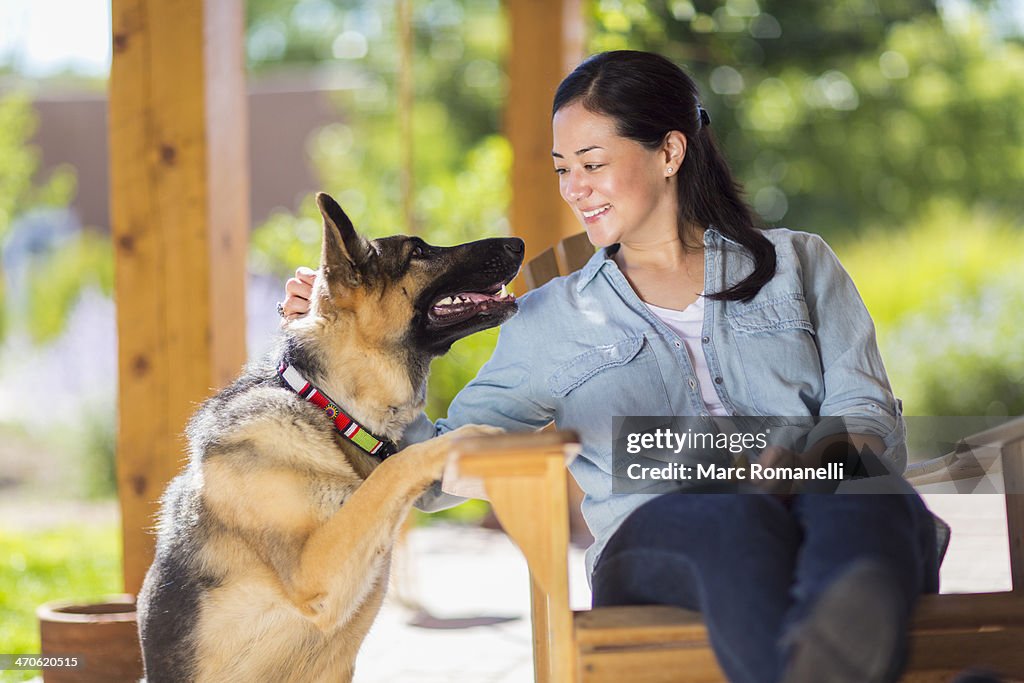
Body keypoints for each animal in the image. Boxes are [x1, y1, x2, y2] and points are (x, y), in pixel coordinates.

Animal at [138, 193, 520, 683]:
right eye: (417, 251)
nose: (518, 243)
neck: (330, 408)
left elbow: (392, 472)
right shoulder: (314, 572)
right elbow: (397, 467)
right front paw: (476, 436)